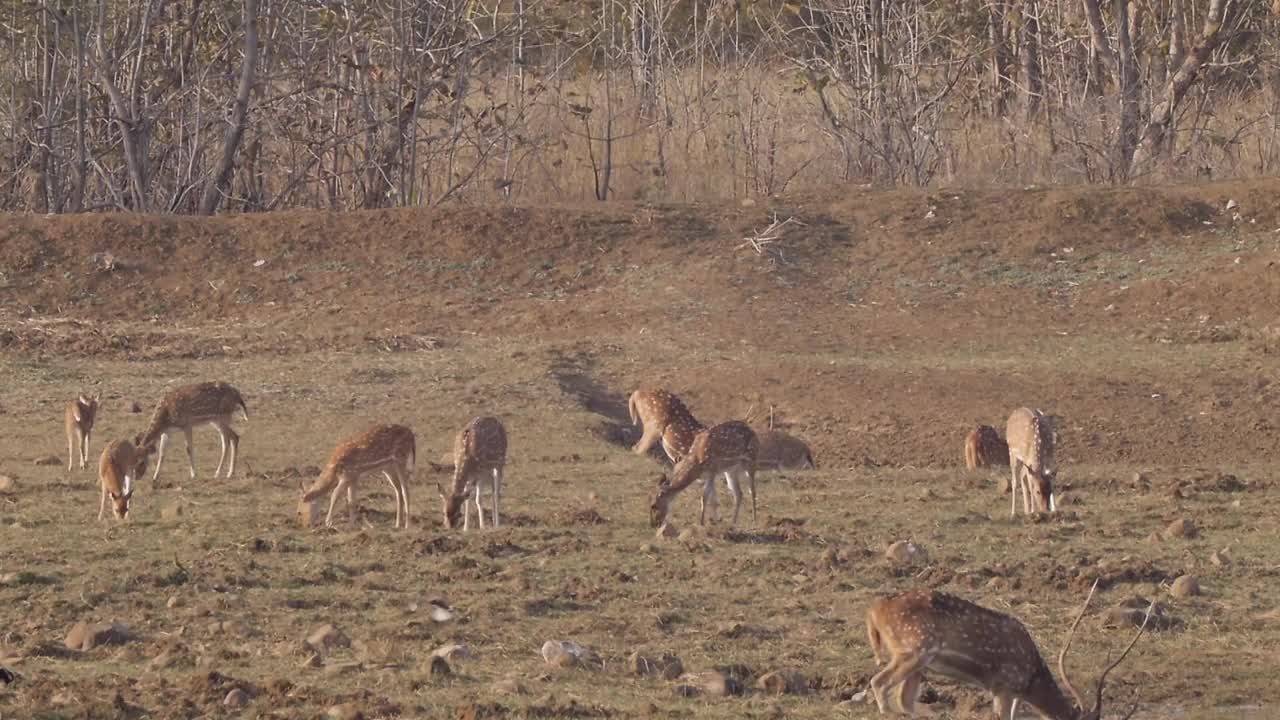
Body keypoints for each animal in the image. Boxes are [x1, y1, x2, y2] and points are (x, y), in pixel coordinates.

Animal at [865, 579, 1157, 712]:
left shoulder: (1014, 693)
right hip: (913, 650)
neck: (1030, 679)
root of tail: (875, 610)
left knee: (904, 699)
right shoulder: (1002, 686)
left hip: (915, 660)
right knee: (878, 682)